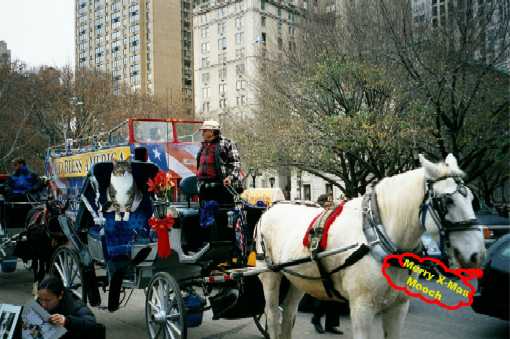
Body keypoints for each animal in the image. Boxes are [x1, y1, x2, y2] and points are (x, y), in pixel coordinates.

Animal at [256, 155, 484, 339]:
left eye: (473, 199)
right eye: (447, 202)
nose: (477, 255)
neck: (376, 236)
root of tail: (273, 207)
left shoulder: (398, 307)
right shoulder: (362, 308)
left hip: (297, 279)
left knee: (289, 314)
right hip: (270, 275)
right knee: (273, 315)